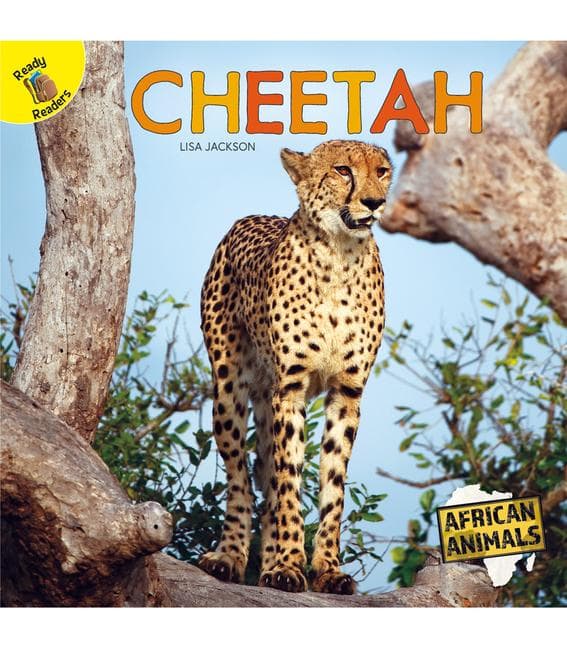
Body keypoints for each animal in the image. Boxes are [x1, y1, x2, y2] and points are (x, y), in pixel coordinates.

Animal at [198, 139, 392, 595]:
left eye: (383, 171)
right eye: (342, 170)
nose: (374, 202)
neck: (340, 254)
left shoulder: (346, 393)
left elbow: (331, 486)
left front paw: (327, 569)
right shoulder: (291, 388)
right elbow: (288, 479)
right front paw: (288, 565)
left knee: (266, 473)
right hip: (229, 391)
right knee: (241, 479)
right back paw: (230, 557)